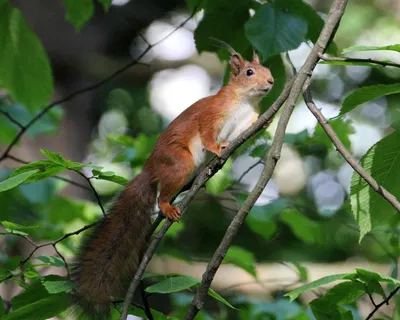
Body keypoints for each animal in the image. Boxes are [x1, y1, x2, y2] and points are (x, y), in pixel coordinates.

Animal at [72, 43, 274, 318]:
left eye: (268, 70)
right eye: (250, 72)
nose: (272, 81)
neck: (244, 101)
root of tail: (150, 169)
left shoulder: (247, 121)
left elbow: (250, 128)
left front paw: (268, 121)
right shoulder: (210, 115)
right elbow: (206, 133)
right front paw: (218, 147)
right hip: (179, 163)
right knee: (161, 194)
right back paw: (168, 206)